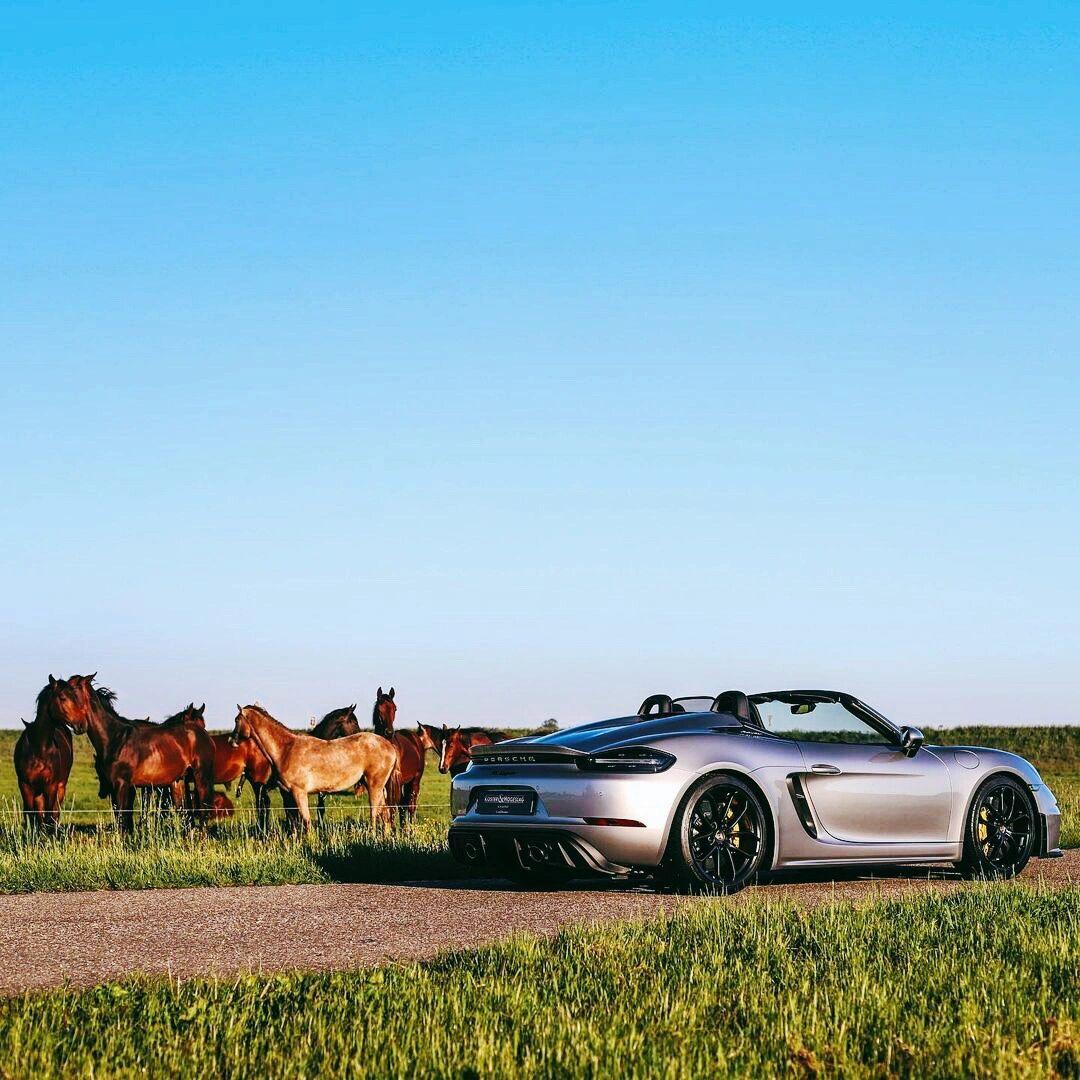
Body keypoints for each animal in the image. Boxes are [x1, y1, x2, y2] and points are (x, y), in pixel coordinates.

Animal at [14, 677, 75, 831]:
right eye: (63, 697)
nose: (80, 722)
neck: (39, 748)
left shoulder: (51, 786)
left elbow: (49, 814)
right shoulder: (25, 785)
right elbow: (31, 814)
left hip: (60, 786)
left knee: (55, 812)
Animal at [51, 674, 216, 833]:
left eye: (72, 690)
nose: (79, 727)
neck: (115, 737)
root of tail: (202, 734)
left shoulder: (122, 784)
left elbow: (123, 819)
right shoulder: (116, 787)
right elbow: (123, 818)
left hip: (201, 778)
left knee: (203, 812)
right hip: (178, 782)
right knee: (184, 812)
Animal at [230, 704, 398, 832]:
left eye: (237, 720)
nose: (232, 740)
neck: (286, 749)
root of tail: (390, 746)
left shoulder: (299, 792)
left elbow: (305, 820)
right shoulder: (289, 793)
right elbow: (295, 820)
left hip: (374, 786)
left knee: (376, 814)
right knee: (385, 814)